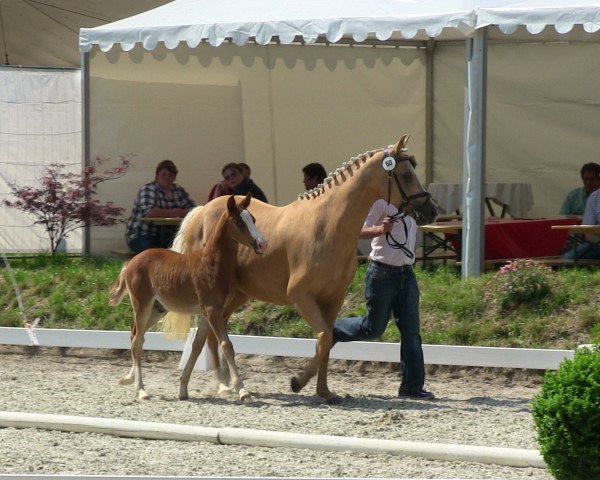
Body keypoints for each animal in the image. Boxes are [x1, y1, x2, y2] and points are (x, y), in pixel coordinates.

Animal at [108, 193, 268, 400]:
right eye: (240, 221)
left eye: (253, 219)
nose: (262, 243)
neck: (211, 264)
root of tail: (130, 262)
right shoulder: (212, 310)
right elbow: (226, 344)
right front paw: (242, 390)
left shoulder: (210, 312)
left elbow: (197, 345)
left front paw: (183, 388)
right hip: (142, 305)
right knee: (137, 342)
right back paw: (141, 390)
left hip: (157, 310)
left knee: (136, 334)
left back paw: (129, 378)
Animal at [169, 135, 436, 404]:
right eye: (406, 174)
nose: (430, 210)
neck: (327, 226)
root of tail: (201, 212)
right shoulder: (301, 296)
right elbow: (325, 337)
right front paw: (298, 382)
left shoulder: (333, 299)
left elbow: (326, 341)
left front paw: (324, 391)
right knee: (210, 334)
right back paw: (225, 386)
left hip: (236, 294)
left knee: (211, 332)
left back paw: (224, 385)